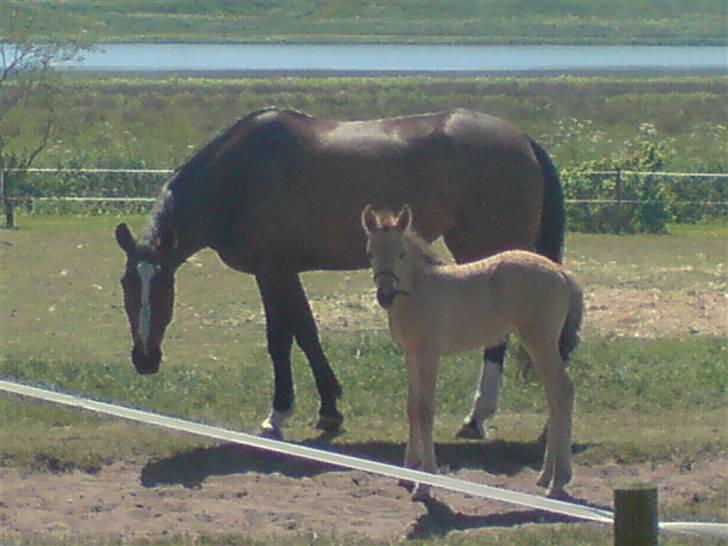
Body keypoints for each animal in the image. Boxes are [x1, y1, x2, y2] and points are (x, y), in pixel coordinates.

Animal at [114, 107, 564, 438]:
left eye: (164, 285)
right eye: (126, 284)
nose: (144, 358)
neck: (237, 175)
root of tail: (523, 139)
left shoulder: (272, 271)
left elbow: (282, 338)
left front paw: (279, 414)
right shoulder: (283, 272)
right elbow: (306, 333)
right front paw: (329, 409)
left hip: (487, 249)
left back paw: (477, 417)